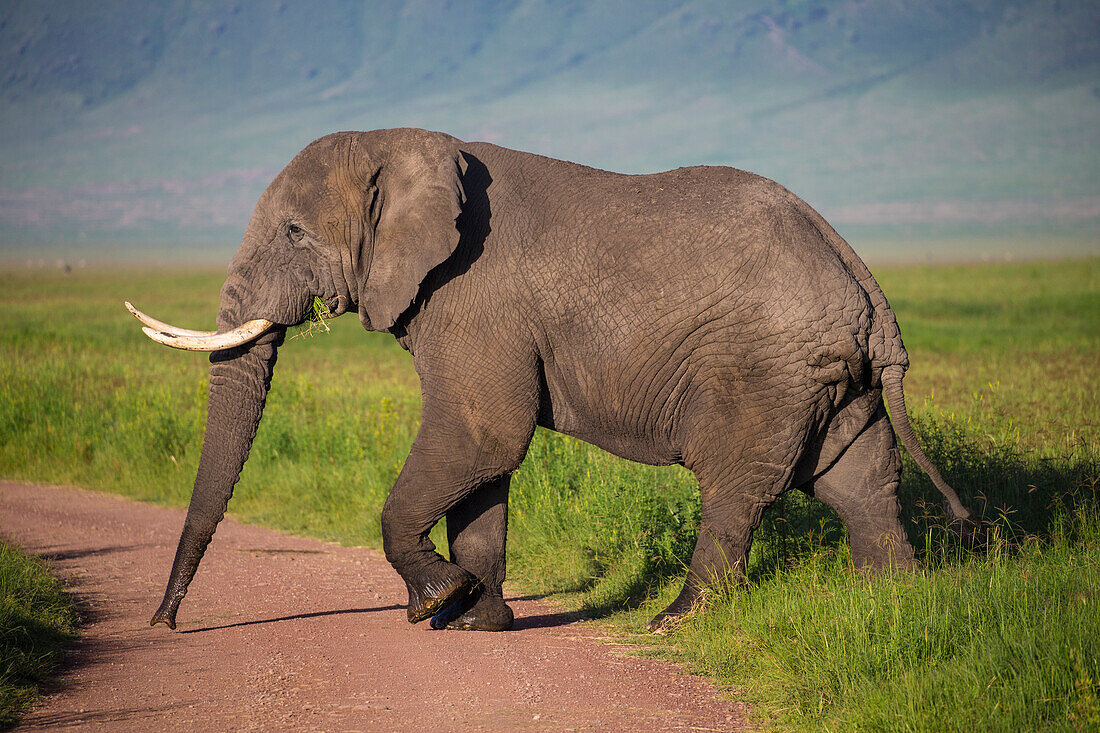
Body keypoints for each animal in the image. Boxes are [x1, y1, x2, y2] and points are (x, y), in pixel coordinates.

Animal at [128, 125, 972, 629]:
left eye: (296, 233)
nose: (164, 623)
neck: (400, 141)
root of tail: (868, 288)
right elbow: (484, 465)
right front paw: (476, 619)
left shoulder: (473, 298)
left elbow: (483, 436)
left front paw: (437, 603)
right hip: (832, 377)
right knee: (858, 479)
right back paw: (893, 601)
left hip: (766, 372)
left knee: (739, 489)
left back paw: (676, 619)